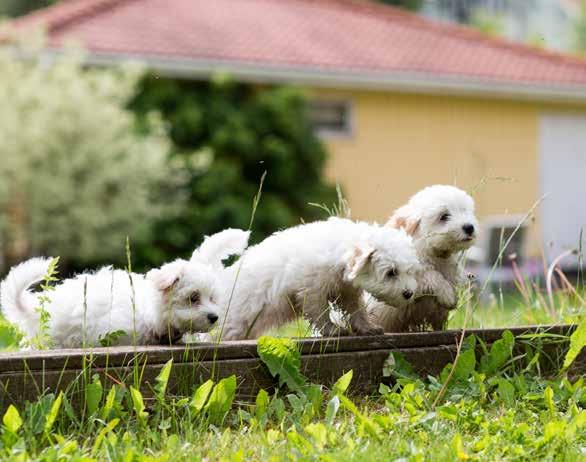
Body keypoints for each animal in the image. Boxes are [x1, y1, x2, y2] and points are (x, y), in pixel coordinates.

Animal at [217, 217, 418, 340]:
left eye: (410, 271)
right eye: (391, 272)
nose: (409, 294)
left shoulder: (347, 292)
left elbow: (356, 310)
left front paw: (367, 327)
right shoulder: (311, 290)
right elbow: (320, 313)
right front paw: (333, 330)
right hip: (233, 324)